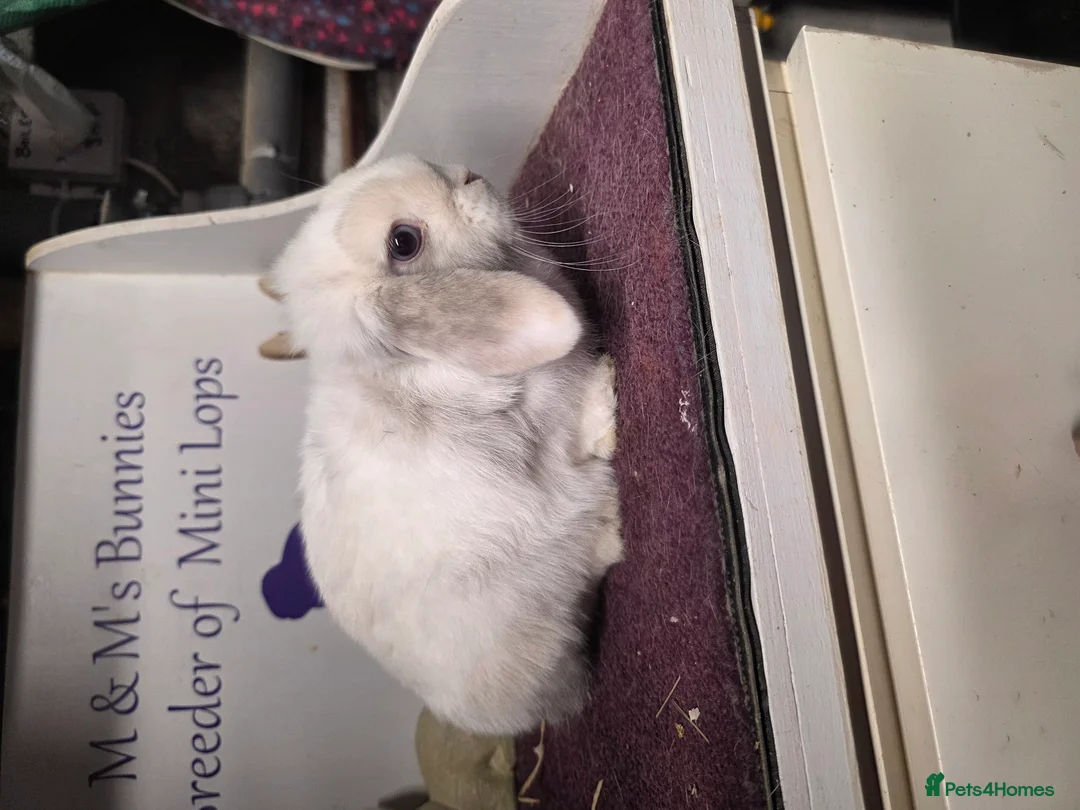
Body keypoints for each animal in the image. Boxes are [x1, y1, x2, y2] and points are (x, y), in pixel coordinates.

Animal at [269, 154, 623, 735]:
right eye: (403, 241)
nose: (468, 177)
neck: (410, 366)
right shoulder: (548, 420)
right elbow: (581, 427)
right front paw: (609, 391)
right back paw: (611, 525)